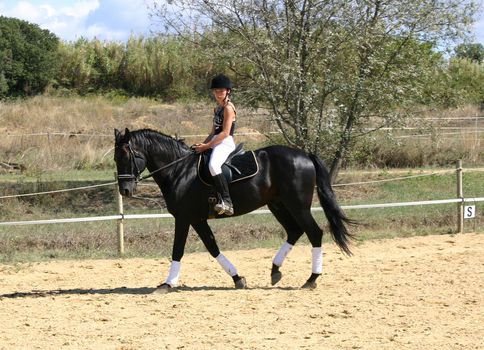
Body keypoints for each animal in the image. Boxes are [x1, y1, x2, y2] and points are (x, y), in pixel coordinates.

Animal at [115, 129, 354, 292]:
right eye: (116, 158)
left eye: (127, 156)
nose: (125, 190)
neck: (179, 170)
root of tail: (305, 155)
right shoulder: (197, 219)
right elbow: (212, 248)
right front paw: (237, 278)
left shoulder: (183, 218)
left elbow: (178, 250)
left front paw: (167, 284)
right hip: (278, 205)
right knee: (294, 231)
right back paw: (275, 271)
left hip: (297, 205)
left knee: (314, 233)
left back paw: (311, 279)